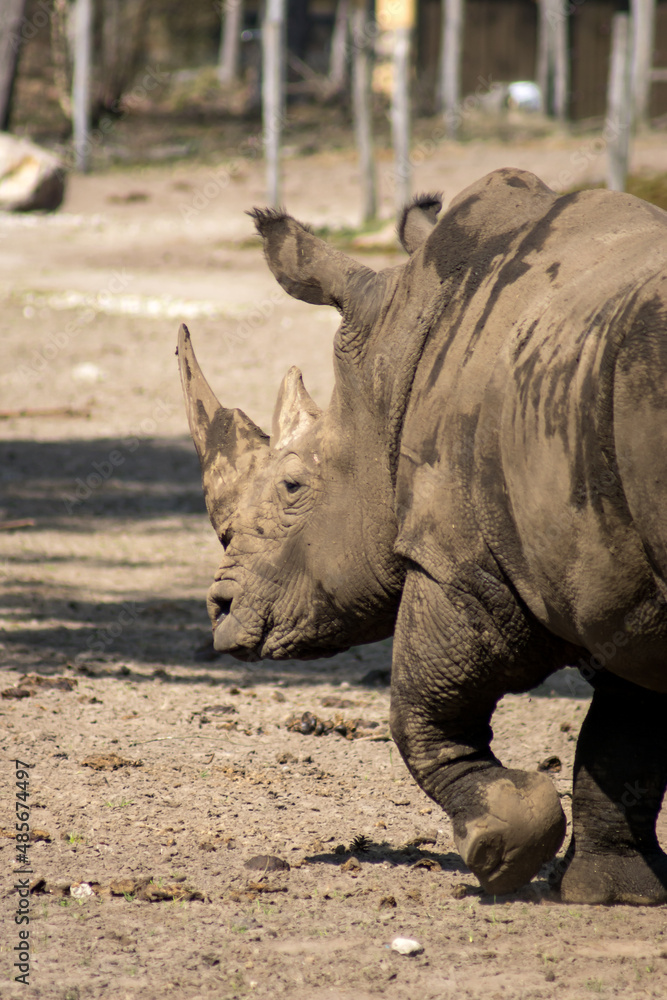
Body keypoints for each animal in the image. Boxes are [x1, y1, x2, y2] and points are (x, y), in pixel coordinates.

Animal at [177, 168, 667, 905]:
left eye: (292, 487)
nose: (221, 612)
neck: (397, 354)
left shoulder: (461, 564)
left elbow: (421, 708)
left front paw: (497, 849)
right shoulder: (619, 585)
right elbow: (626, 734)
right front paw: (617, 895)